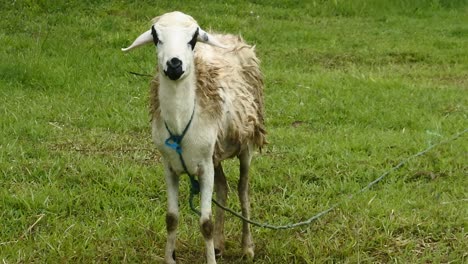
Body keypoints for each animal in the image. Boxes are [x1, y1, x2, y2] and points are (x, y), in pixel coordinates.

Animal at [121, 11, 266, 262]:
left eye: (193, 39)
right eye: (156, 37)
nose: (174, 64)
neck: (180, 123)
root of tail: (225, 35)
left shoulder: (204, 168)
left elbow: (205, 223)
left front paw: (212, 258)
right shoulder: (169, 166)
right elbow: (171, 219)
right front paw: (170, 258)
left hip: (245, 145)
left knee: (242, 191)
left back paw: (247, 247)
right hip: (215, 154)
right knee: (223, 188)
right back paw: (218, 244)